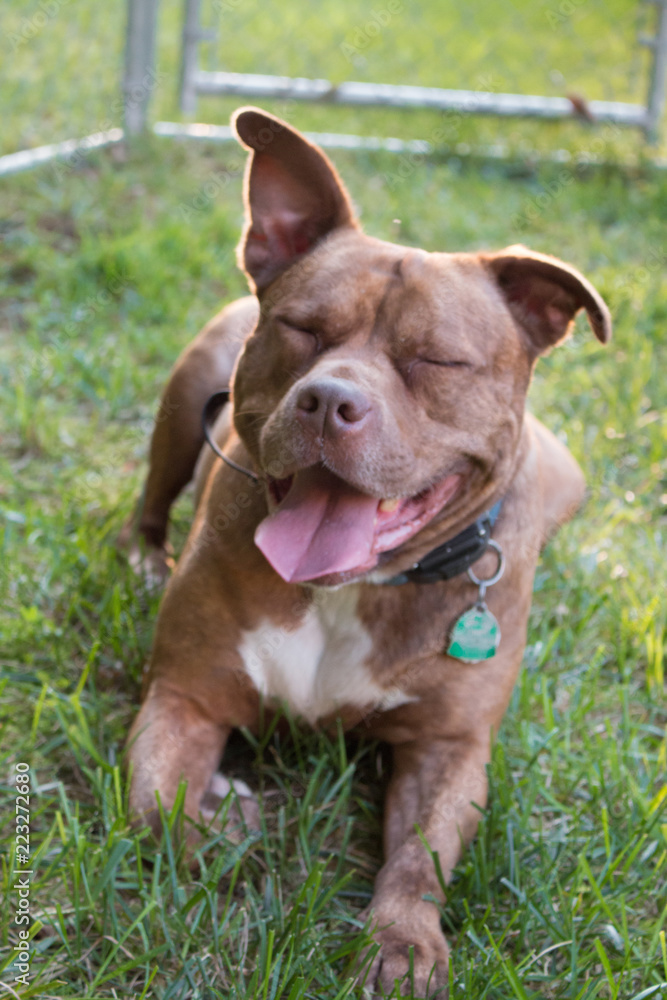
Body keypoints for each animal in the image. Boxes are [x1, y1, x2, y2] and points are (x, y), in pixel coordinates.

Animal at [124, 105, 612, 996]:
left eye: (436, 360)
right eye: (301, 328)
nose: (327, 400)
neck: (352, 586)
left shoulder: (448, 750)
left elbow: (418, 861)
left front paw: (402, 945)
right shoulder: (185, 693)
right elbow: (152, 807)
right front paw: (216, 821)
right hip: (182, 400)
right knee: (147, 502)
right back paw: (145, 562)